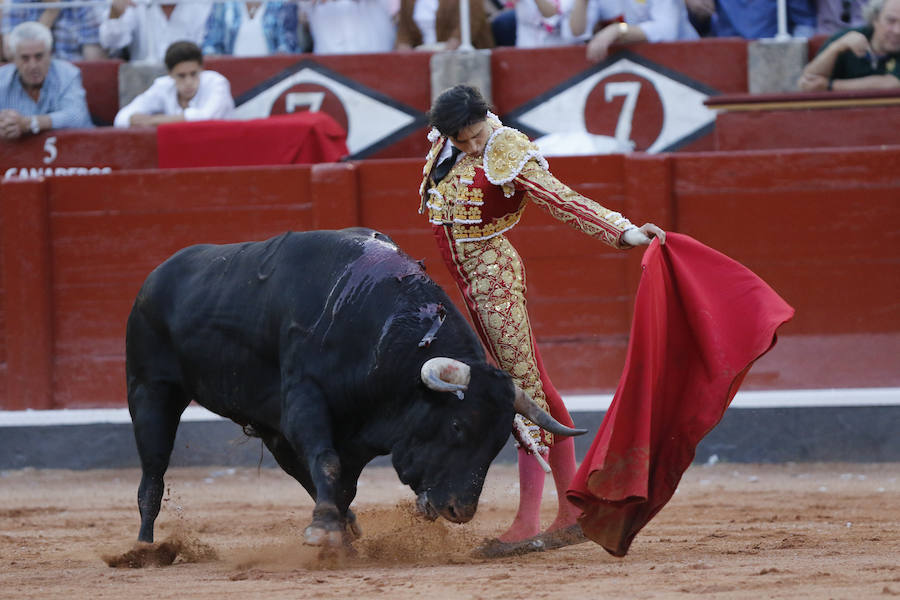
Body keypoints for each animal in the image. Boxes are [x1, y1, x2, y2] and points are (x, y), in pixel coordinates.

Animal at [128, 227, 584, 548]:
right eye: (457, 427)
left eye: (497, 443)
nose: (460, 510)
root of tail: (152, 279)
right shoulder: (305, 401)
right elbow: (328, 464)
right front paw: (325, 531)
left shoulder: (356, 429)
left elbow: (341, 481)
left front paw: (339, 531)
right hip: (150, 391)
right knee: (154, 468)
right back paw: (145, 548)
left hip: (269, 428)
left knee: (297, 469)